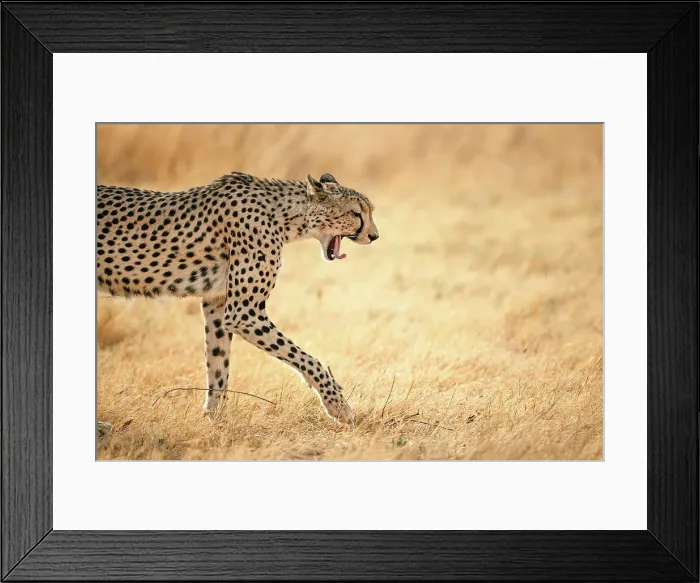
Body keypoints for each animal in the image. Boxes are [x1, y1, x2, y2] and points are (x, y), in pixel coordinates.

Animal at [97, 171, 379, 425]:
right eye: (356, 213)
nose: (374, 236)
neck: (285, 217)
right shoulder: (243, 312)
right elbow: (307, 359)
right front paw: (338, 405)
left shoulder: (218, 304)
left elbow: (218, 363)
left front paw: (214, 420)